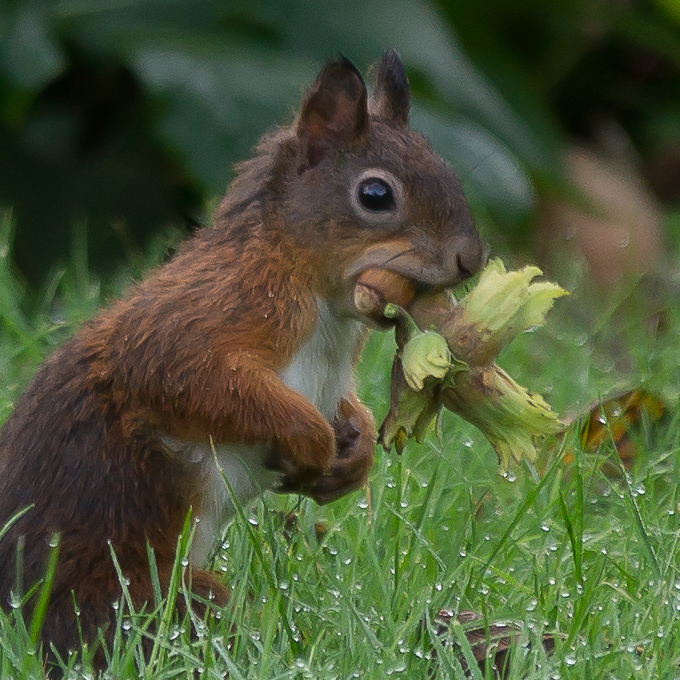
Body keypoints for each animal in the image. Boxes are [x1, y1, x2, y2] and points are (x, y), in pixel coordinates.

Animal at [0, 51, 484, 660]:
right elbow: (191, 377)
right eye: (376, 195)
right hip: (130, 589)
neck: (322, 300)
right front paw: (314, 440)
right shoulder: (214, 312)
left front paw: (354, 456)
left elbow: (348, 407)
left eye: (447, 170)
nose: (472, 259)